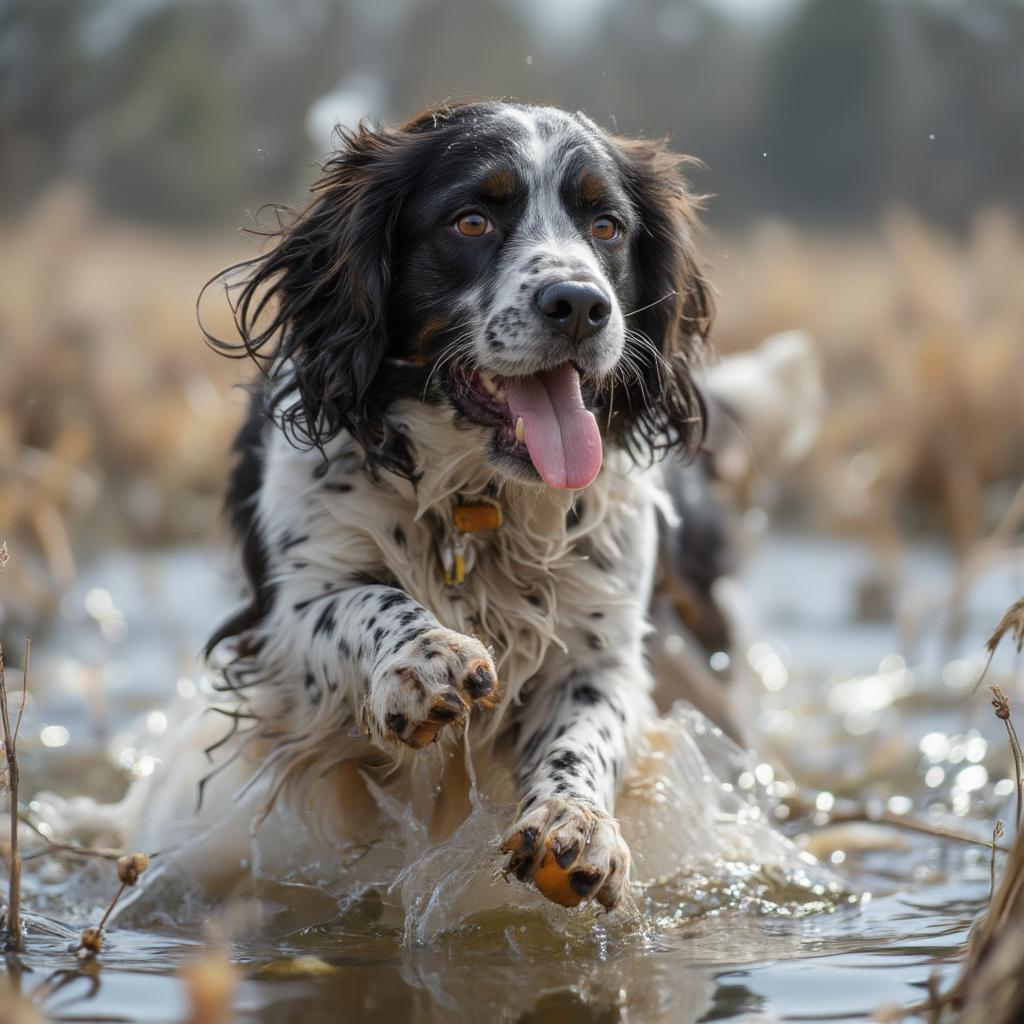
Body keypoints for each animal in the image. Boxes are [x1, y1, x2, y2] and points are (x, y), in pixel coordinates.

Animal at [195, 97, 716, 913]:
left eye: (607, 226)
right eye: (471, 221)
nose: (580, 305)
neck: (480, 498)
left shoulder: (602, 650)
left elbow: (585, 736)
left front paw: (577, 823)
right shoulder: (282, 617)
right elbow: (363, 602)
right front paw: (424, 657)